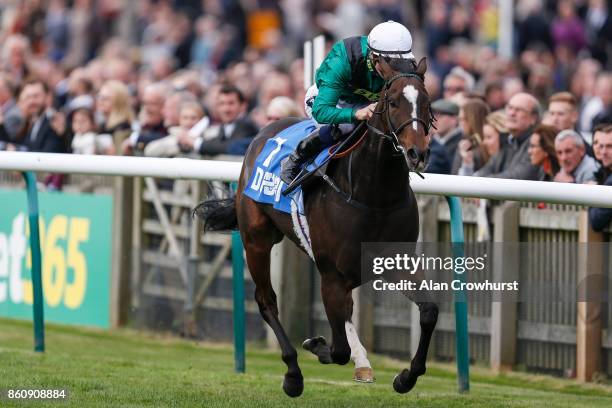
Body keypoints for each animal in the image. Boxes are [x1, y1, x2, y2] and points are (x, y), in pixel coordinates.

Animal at [196, 57, 436, 396]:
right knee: (266, 300)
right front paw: (316, 346)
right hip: (256, 240)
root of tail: (265, 129)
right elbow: (338, 350)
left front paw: (406, 377)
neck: (374, 195)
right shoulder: (332, 276)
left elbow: (428, 312)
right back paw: (293, 374)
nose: (417, 153)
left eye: (427, 103)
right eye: (393, 102)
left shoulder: (395, 262)